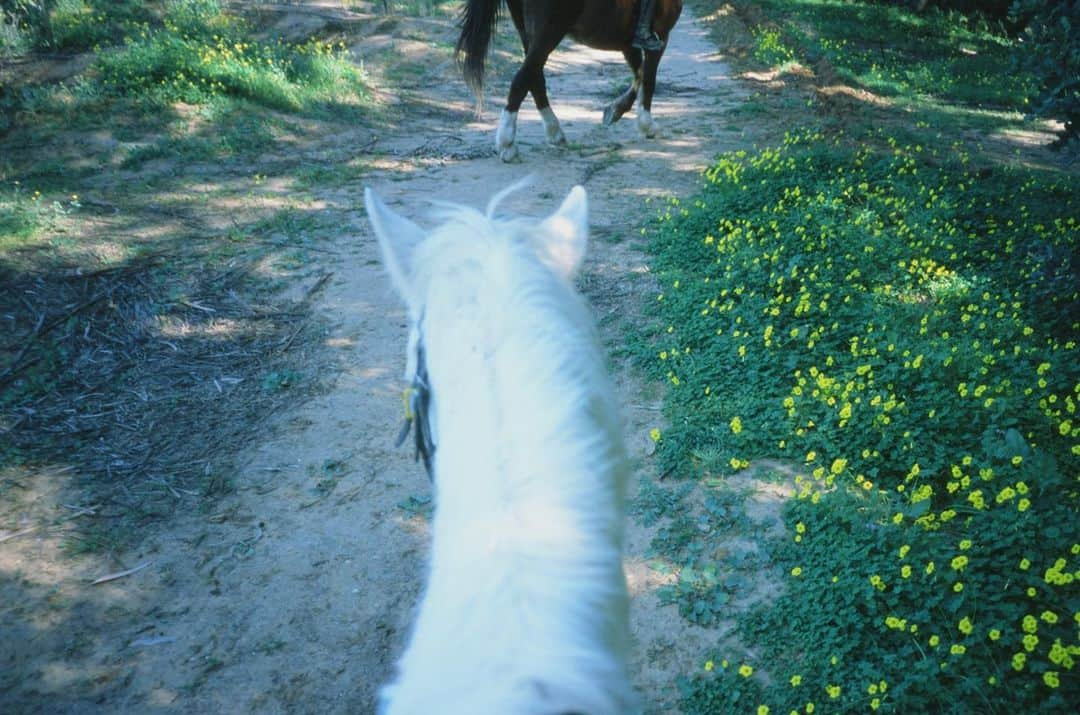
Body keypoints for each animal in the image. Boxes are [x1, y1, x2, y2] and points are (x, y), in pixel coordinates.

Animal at [457, 0, 682, 162]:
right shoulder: (661, 37)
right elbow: (649, 79)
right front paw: (647, 125)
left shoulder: (628, 44)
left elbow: (640, 75)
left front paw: (615, 110)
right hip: (549, 32)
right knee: (523, 79)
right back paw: (507, 143)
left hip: (528, 31)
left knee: (535, 78)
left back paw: (554, 132)